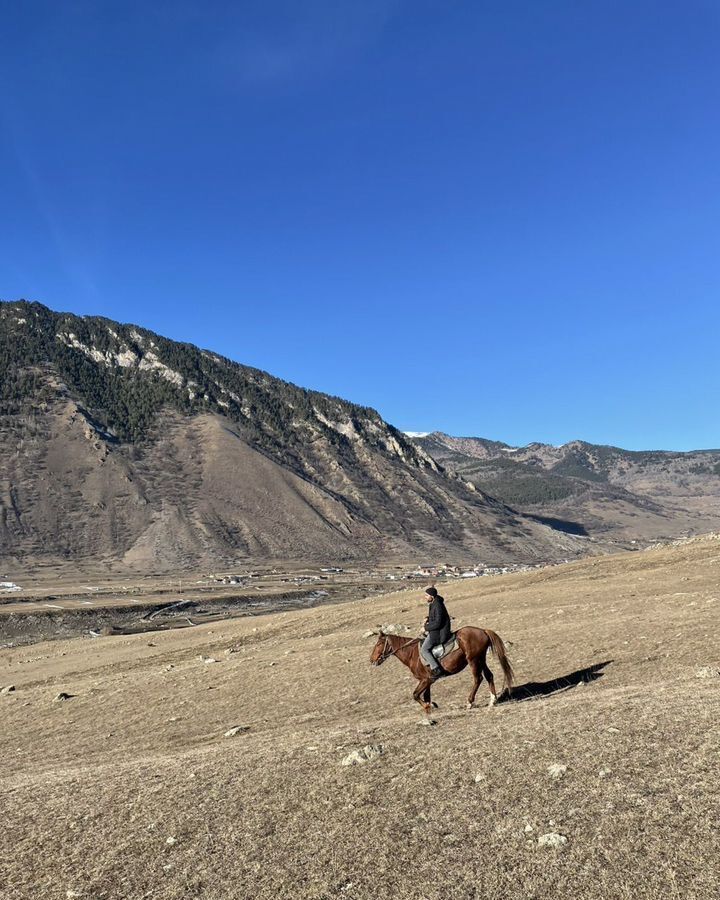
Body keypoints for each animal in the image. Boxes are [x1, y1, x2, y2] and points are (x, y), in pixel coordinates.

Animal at [368, 624, 516, 716]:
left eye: (379, 644)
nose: (372, 660)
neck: (412, 654)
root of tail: (483, 631)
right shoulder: (428, 680)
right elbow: (426, 696)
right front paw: (430, 709)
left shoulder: (425, 680)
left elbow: (415, 695)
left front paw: (428, 707)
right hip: (481, 659)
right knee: (489, 676)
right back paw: (492, 701)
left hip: (473, 660)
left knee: (478, 678)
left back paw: (469, 702)